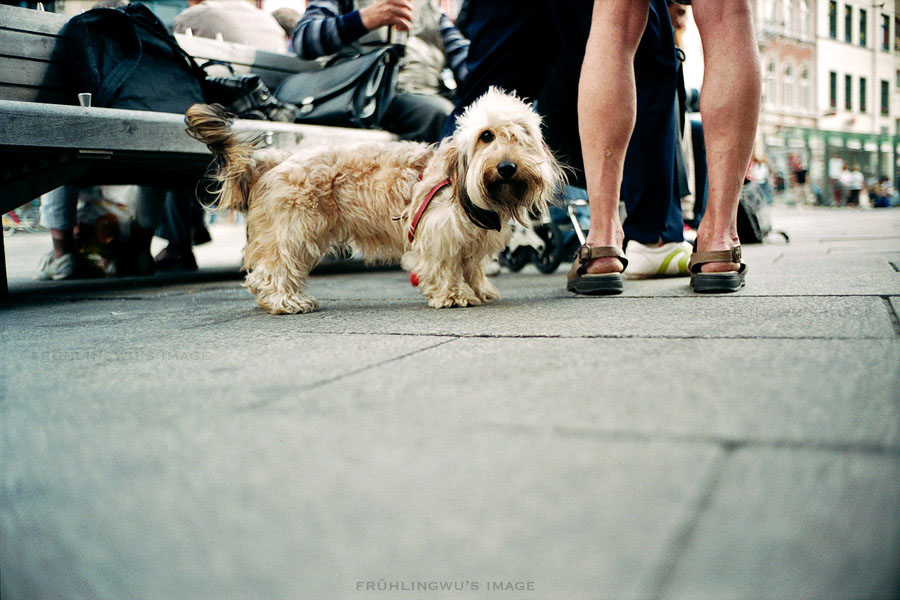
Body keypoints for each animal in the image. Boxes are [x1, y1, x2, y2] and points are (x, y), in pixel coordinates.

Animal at [185, 90, 564, 314]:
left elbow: (471, 267)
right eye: (487, 136)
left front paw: (480, 289)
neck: (458, 181)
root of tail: (274, 159)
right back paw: (285, 300)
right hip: (292, 232)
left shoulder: (469, 242)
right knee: (272, 270)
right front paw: (453, 295)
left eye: (523, 136)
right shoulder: (437, 237)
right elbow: (444, 267)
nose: (507, 167)